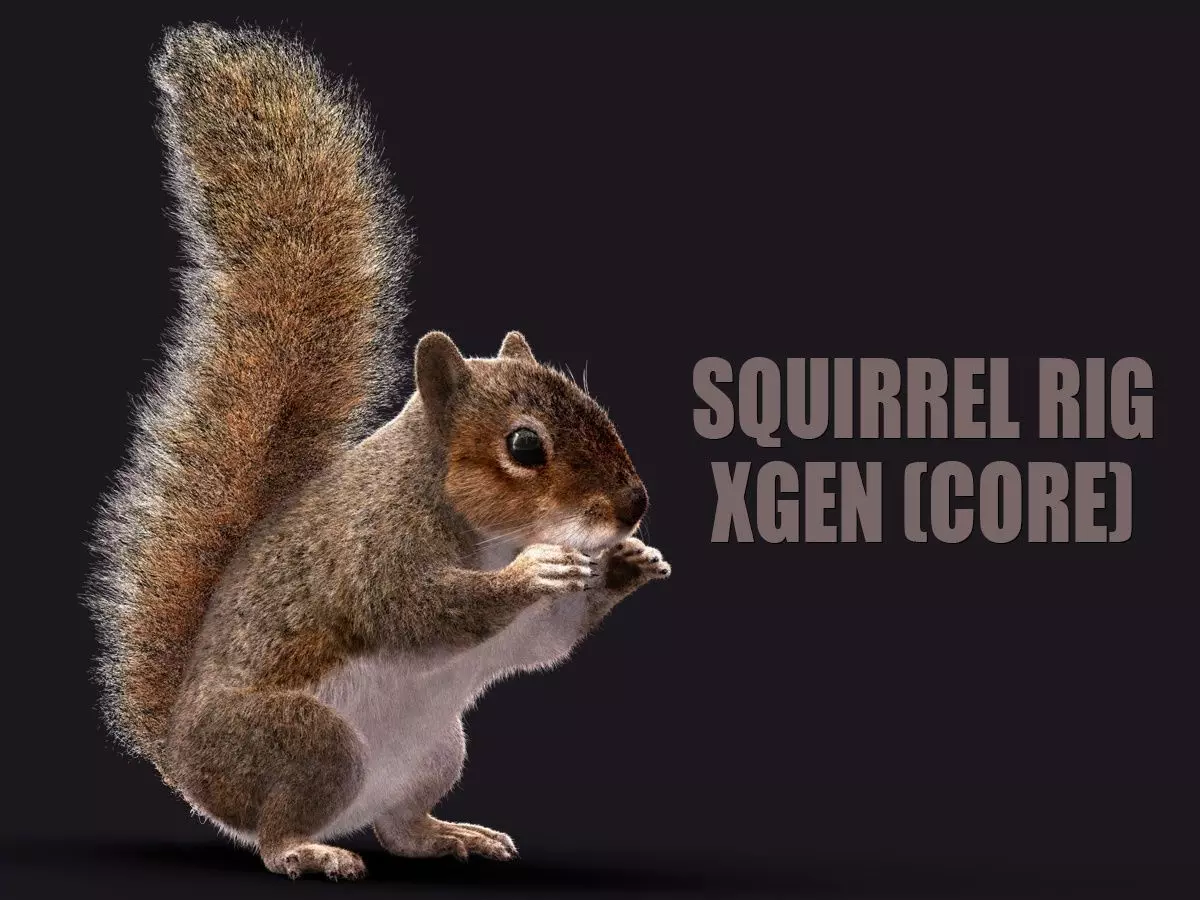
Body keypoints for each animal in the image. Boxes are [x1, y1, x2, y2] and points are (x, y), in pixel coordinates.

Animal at [88, 23, 670, 881]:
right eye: (524, 446)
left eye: (598, 409)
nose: (633, 507)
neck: (483, 528)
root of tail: (188, 763)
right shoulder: (372, 553)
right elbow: (419, 608)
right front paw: (536, 572)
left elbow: (542, 641)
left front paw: (629, 563)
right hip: (310, 744)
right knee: (273, 835)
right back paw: (309, 851)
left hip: (437, 749)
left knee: (398, 826)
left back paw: (449, 835)